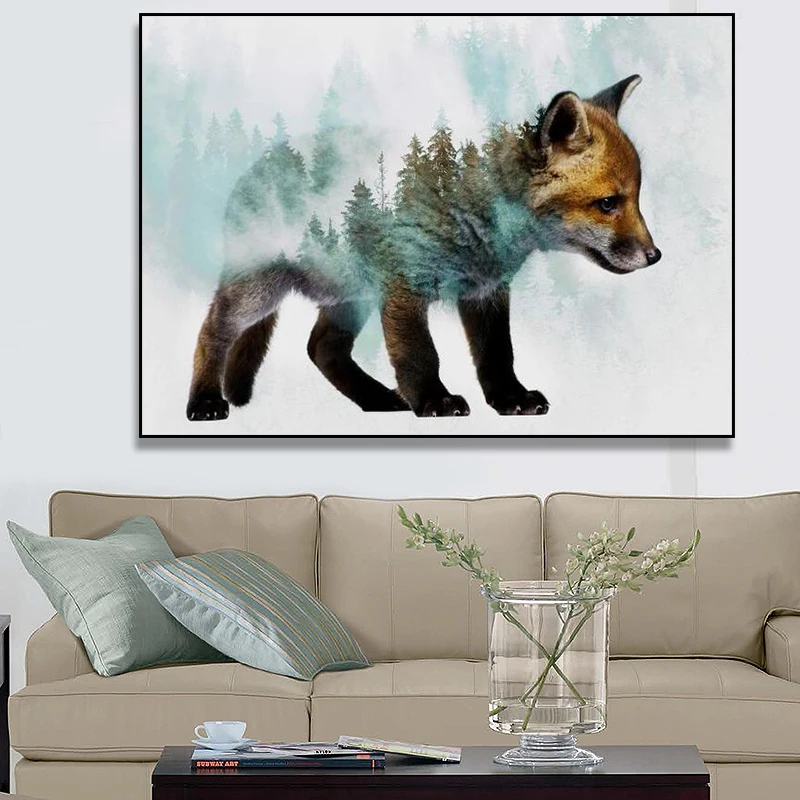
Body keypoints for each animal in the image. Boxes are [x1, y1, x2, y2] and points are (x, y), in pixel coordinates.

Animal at [186, 75, 660, 420]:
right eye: (607, 203)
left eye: (636, 198)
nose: (655, 257)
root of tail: (255, 168)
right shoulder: (404, 287)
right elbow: (420, 355)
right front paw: (434, 400)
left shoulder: (486, 291)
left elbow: (498, 355)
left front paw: (510, 399)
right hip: (259, 290)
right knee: (212, 330)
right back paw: (204, 401)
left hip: (352, 296)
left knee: (322, 348)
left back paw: (377, 399)